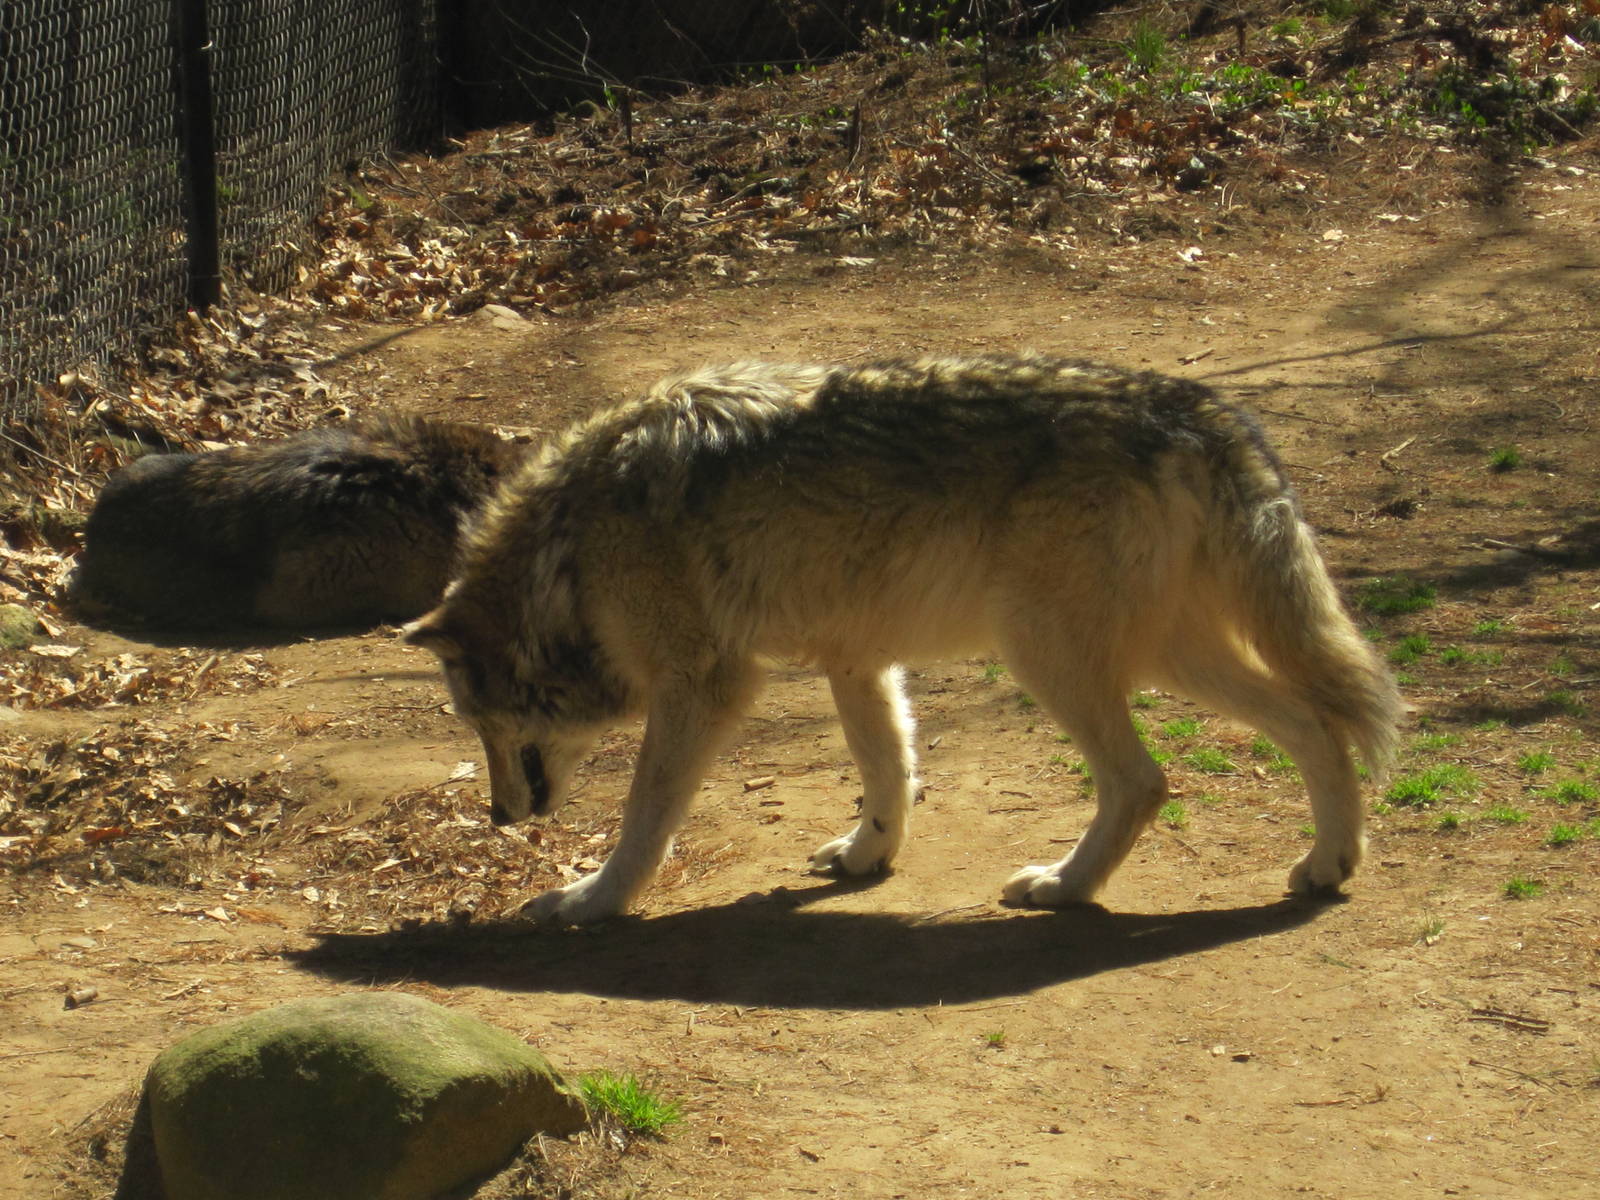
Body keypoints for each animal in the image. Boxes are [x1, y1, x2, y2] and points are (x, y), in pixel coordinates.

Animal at [405, 353, 1401, 925]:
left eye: (479, 723)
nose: (497, 817)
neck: (569, 548)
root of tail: (1198, 407)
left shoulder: (706, 684)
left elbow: (645, 816)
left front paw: (593, 901)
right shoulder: (856, 659)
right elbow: (888, 771)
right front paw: (865, 857)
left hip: (1048, 655)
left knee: (1146, 781)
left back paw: (1064, 888)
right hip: (1165, 656)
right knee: (1317, 724)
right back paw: (1327, 865)